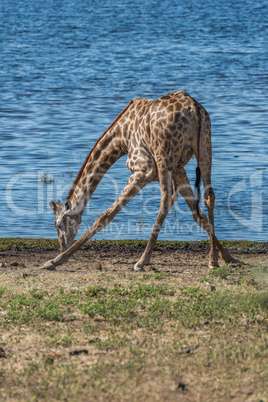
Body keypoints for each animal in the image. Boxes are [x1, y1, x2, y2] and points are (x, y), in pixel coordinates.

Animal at [39, 91, 237, 270]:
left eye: (58, 224)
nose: (61, 246)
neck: (121, 137)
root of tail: (195, 110)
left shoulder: (143, 170)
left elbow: (105, 216)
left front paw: (54, 261)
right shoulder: (179, 170)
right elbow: (199, 216)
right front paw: (226, 257)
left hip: (164, 156)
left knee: (166, 200)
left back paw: (142, 261)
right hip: (204, 147)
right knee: (209, 195)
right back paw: (212, 260)